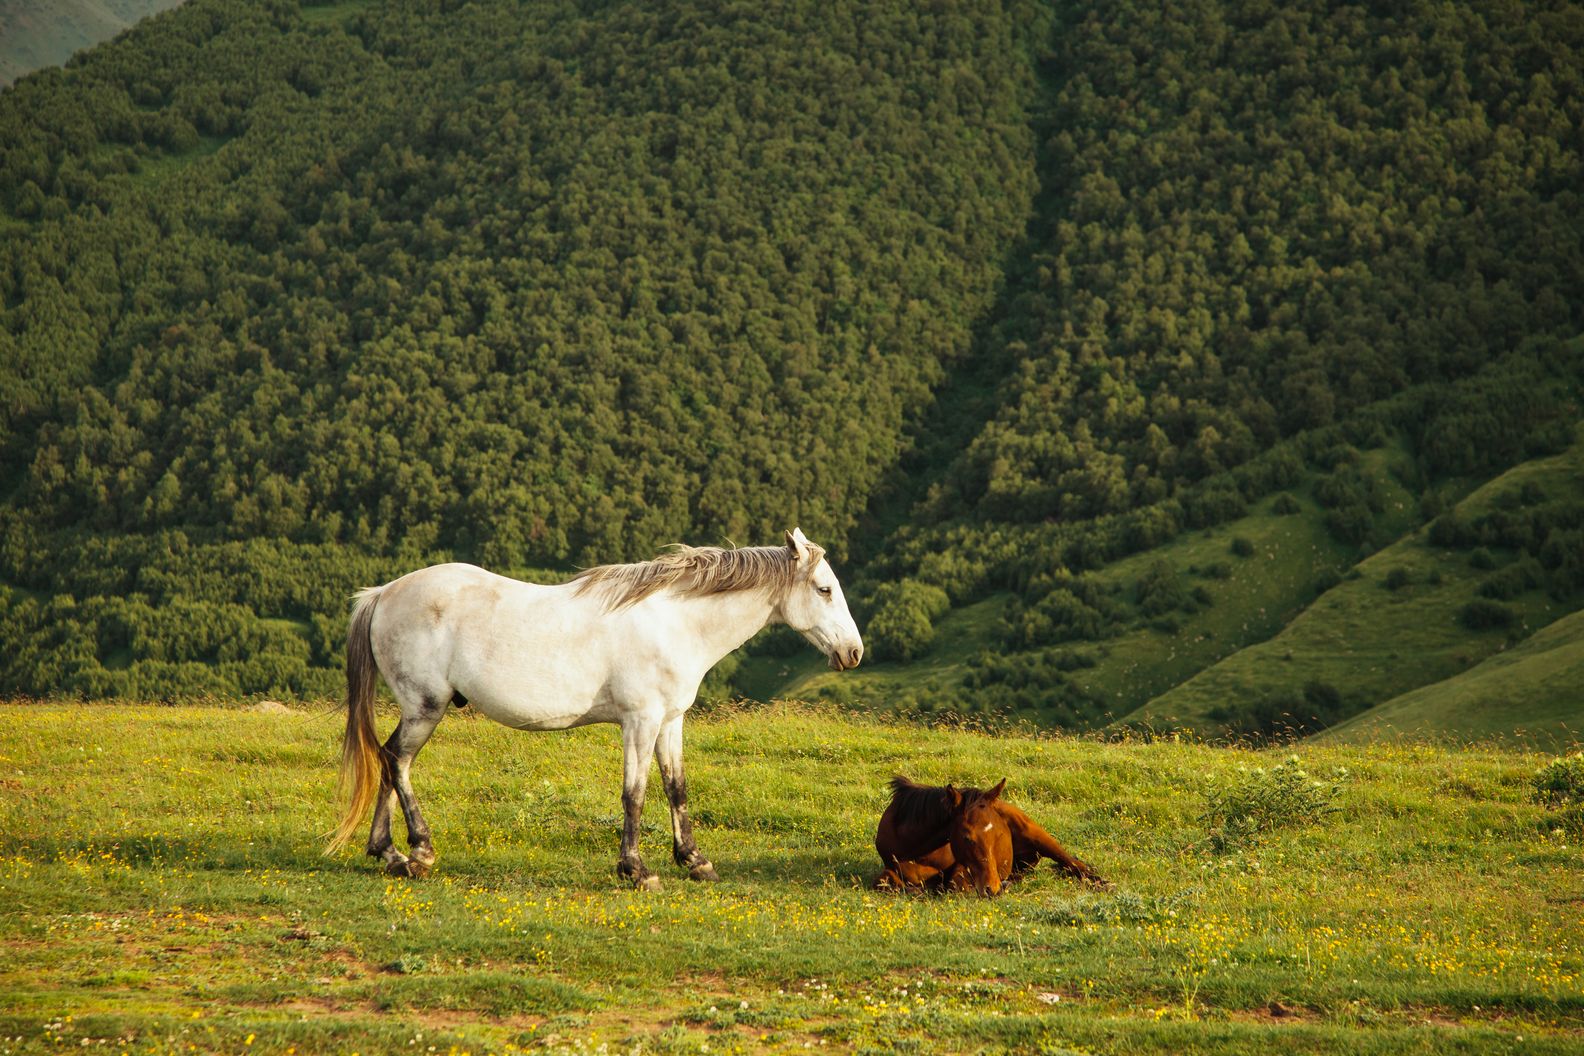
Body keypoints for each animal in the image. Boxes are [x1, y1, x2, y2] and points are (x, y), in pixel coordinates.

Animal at [325, 528, 864, 890]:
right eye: (824, 589)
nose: (854, 652)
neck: (675, 622)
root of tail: (382, 594)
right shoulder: (639, 721)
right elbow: (635, 794)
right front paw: (637, 870)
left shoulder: (669, 721)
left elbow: (676, 787)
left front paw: (694, 860)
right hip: (426, 707)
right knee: (396, 760)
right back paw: (419, 851)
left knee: (389, 760)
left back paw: (388, 853)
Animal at [874, 776, 1107, 894]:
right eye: (967, 837)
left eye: (999, 835)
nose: (992, 888)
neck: (918, 852)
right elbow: (884, 880)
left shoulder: (962, 866)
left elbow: (954, 883)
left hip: (1042, 839)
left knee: (1076, 865)